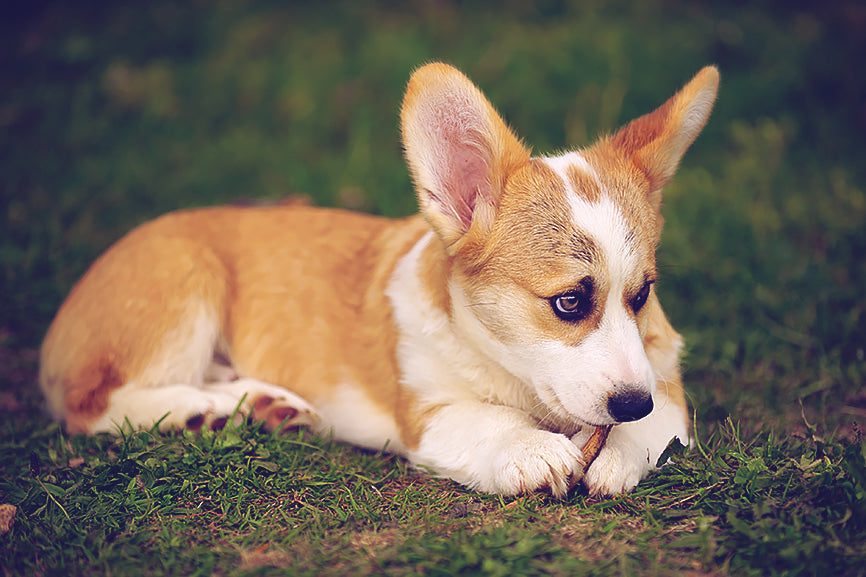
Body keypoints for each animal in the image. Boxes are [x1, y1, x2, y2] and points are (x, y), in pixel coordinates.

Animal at [38, 62, 716, 496]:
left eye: (642, 295)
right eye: (569, 302)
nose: (630, 401)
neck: (511, 376)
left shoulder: (665, 384)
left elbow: (655, 424)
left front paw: (619, 453)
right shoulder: (429, 412)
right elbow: (490, 424)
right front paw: (532, 450)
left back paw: (257, 405)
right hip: (185, 288)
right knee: (91, 406)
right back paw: (197, 413)